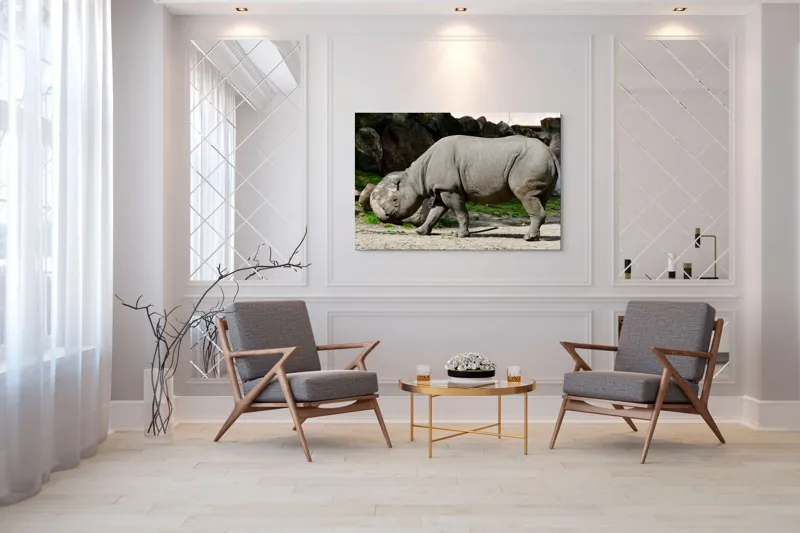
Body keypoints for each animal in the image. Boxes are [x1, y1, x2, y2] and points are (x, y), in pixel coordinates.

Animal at [369, 135, 560, 241]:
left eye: (395, 200)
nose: (386, 217)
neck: (416, 177)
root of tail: (551, 153)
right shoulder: (442, 189)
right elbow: (434, 212)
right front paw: (420, 232)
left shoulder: (450, 189)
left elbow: (460, 213)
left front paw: (460, 235)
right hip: (538, 161)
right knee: (540, 199)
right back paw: (535, 237)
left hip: (529, 161)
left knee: (526, 196)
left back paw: (528, 238)